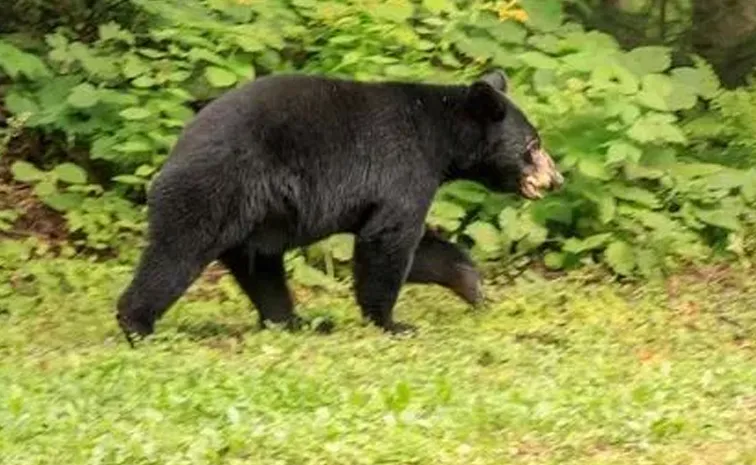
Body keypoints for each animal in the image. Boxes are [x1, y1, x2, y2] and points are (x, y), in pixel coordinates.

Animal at [115, 69, 563, 344]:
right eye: (533, 145)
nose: (556, 179)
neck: (440, 136)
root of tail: (176, 148)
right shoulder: (404, 167)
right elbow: (389, 241)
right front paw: (393, 323)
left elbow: (420, 249)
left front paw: (472, 287)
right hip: (216, 187)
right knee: (176, 252)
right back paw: (137, 324)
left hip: (257, 215)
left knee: (260, 268)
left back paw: (298, 321)